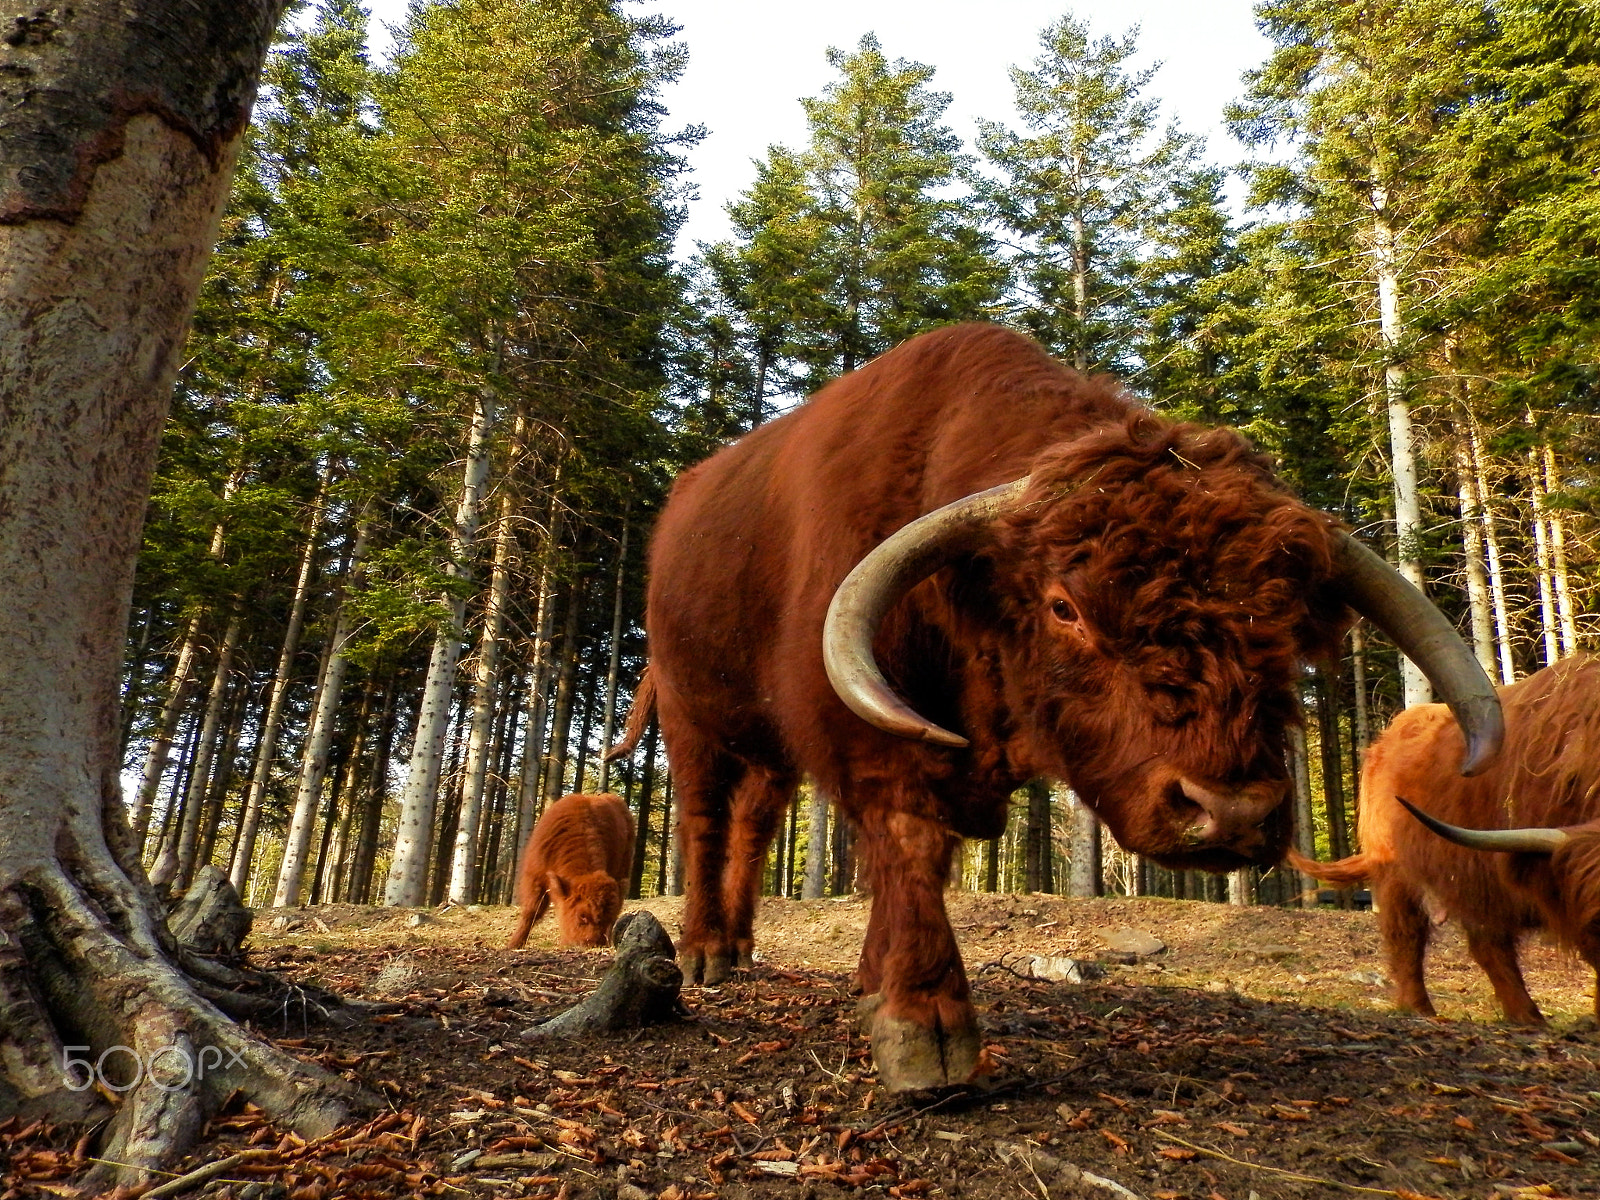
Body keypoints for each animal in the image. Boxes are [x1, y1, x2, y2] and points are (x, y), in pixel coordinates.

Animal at [507, 792, 634, 949]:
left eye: (609, 918)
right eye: (582, 915)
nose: (594, 943)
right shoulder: (535, 877)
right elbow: (532, 911)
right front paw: (514, 944)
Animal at [623, 322, 1499, 1090]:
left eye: (1283, 619)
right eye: (1065, 607)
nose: (1230, 812)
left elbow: (919, 859)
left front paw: (874, 985)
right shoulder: (869, 739)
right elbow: (907, 845)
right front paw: (923, 1029)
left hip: (765, 754)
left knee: (753, 826)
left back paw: (739, 946)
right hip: (695, 720)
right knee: (704, 819)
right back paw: (703, 955)